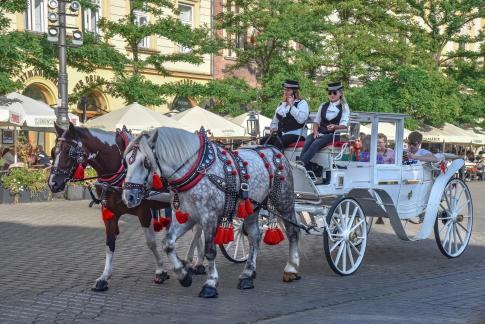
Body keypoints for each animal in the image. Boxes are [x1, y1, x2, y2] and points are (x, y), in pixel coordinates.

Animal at [50, 123, 205, 292]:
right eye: (53, 152)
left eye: (68, 152)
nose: (53, 183)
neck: (120, 168)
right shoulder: (110, 212)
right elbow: (110, 243)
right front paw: (104, 277)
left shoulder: (144, 212)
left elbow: (151, 243)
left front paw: (160, 271)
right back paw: (196, 262)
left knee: (198, 230)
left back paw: (194, 262)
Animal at [121, 127, 300, 298]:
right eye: (125, 162)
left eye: (145, 162)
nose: (128, 197)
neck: (196, 170)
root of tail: (275, 149)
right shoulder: (186, 217)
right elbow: (168, 243)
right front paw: (183, 275)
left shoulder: (209, 217)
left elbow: (210, 251)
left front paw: (210, 284)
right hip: (253, 208)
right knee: (254, 237)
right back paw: (247, 275)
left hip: (284, 201)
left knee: (293, 231)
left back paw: (291, 269)